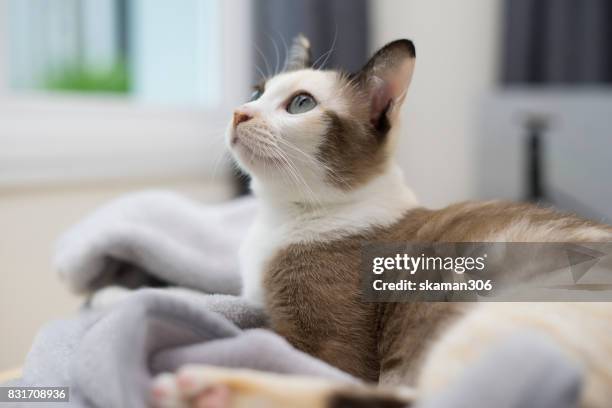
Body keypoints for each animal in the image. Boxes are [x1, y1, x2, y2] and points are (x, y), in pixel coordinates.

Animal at [151, 35, 612, 408]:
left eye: (301, 103)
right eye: (255, 92)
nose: (238, 113)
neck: (280, 217)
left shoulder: (326, 349)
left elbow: (280, 347)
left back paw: (207, 386)